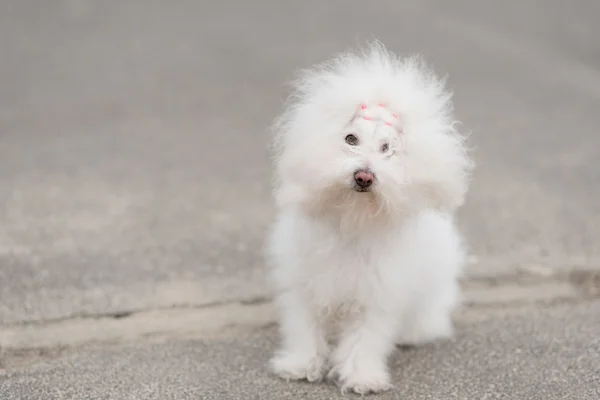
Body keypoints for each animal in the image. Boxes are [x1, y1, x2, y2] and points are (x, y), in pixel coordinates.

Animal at [268, 42, 474, 396]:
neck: (354, 217)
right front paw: (300, 365)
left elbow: (364, 340)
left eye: (386, 147)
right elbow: (305, 328)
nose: (364, 176)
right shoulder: (306, 283)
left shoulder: (377, 294)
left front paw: (361, 378)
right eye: (351, 139)